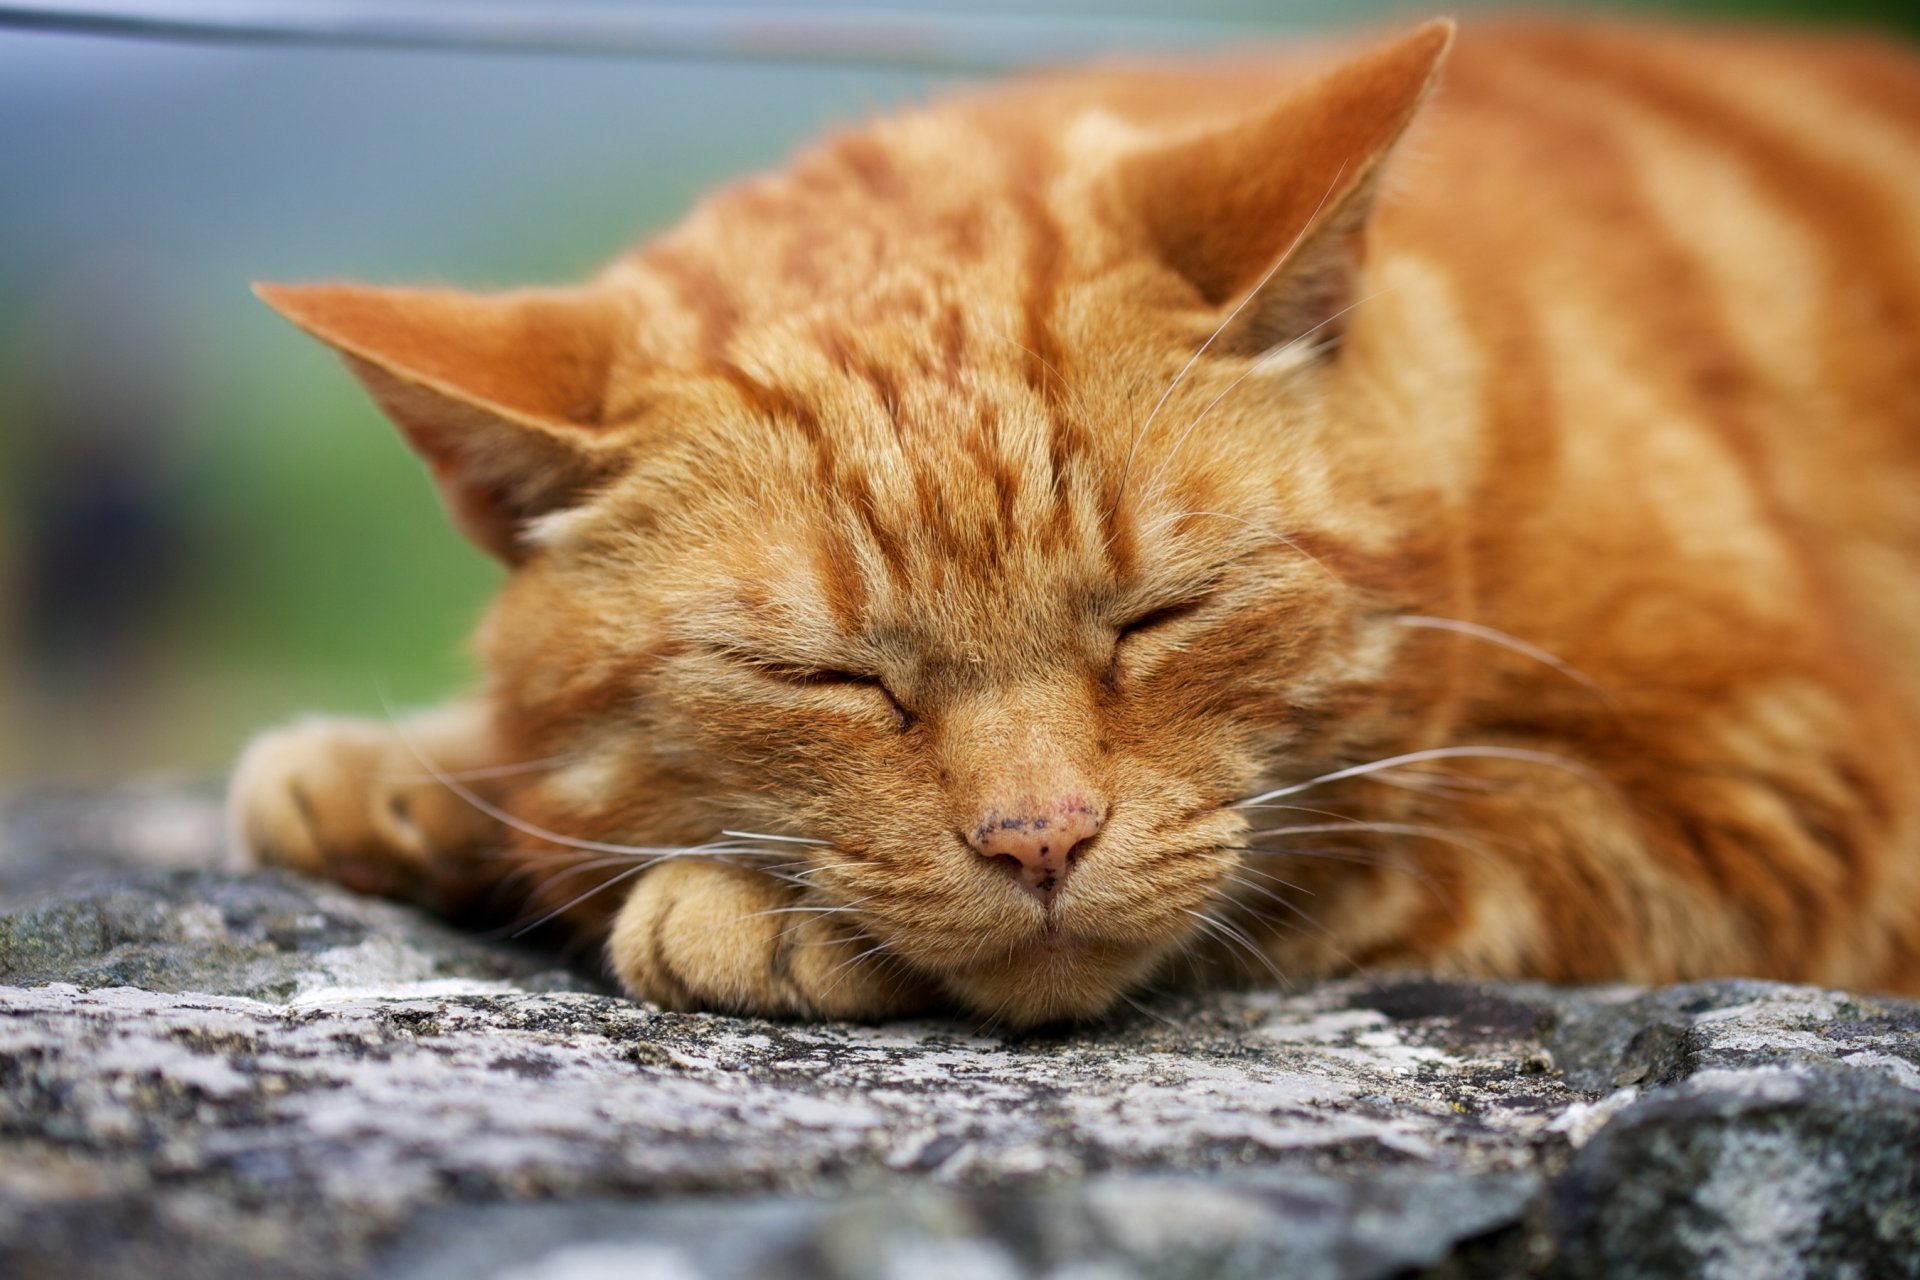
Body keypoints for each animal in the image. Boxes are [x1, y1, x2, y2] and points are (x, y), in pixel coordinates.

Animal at [232, 20, 1920, 1028]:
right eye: (834, 680)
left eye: (1161, 618)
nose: (1038, 839)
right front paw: (421, 773)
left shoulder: (1770, 795)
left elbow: (1362, 856)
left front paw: (730, 908)